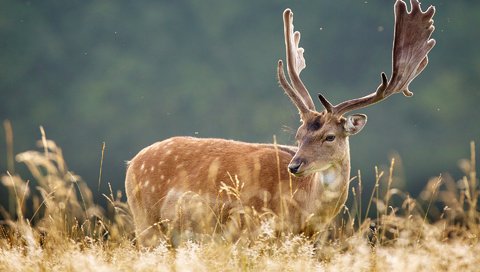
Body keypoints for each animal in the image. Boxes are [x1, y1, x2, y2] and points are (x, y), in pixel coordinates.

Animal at [124, 0, 436, 246]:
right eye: (298, 136)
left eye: (330, 136)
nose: (295, 165)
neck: (304, 211)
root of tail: (131, 163)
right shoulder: (251, 230)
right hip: (146, 222)